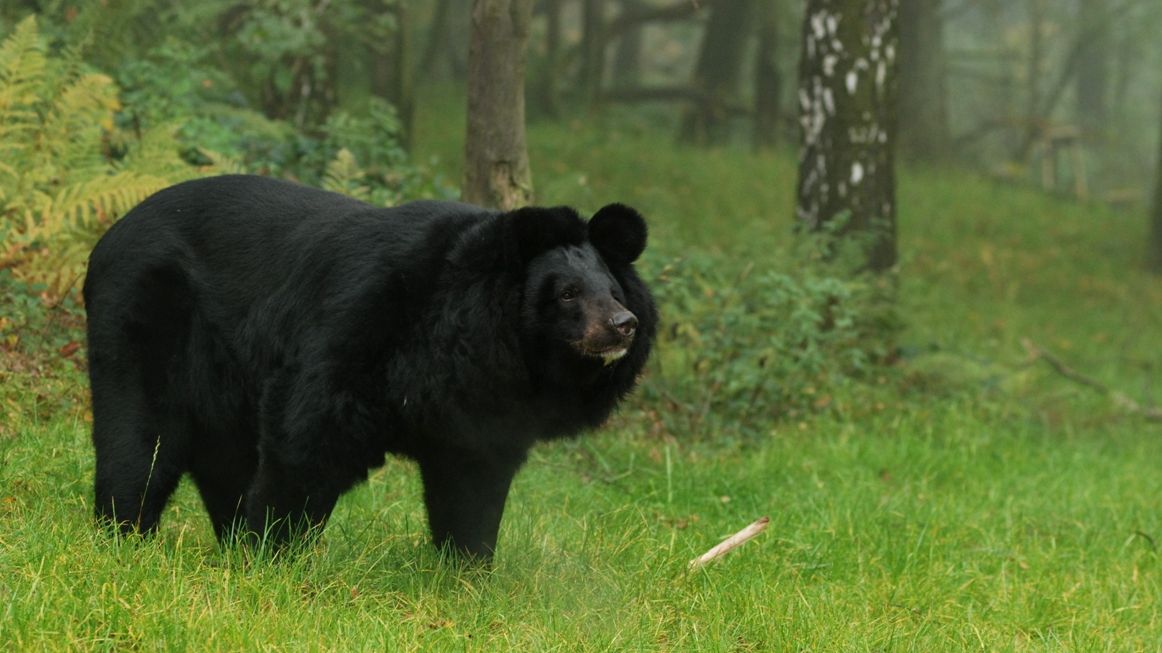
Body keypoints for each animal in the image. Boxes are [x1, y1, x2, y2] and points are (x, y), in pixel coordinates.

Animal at [84, 174, 655, 560]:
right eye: (568, 293)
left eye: (614, 291)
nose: (623, 326)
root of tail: (110, 235)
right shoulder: (359, 326)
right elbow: (307, 434)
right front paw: (271, 550)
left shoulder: (479, 403)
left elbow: (472, 481)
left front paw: (468, 569)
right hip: (146, 317)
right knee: (143, 437)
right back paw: (125, 533)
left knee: (220, 453)